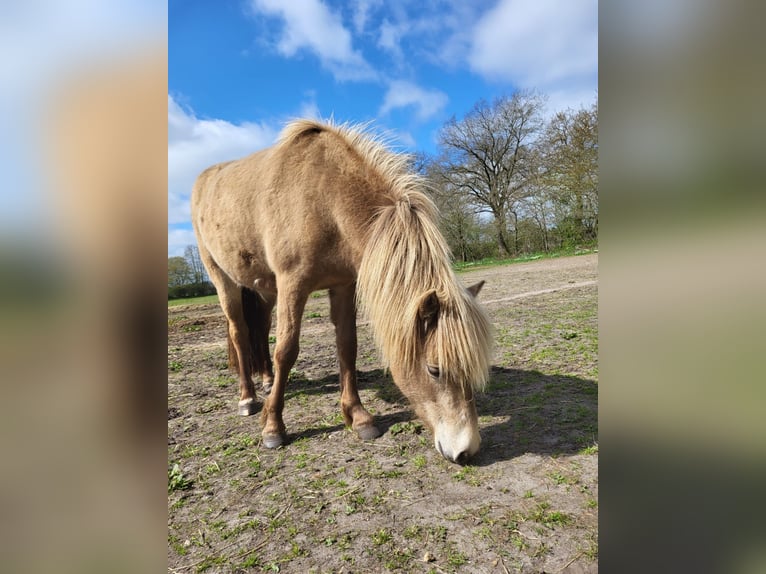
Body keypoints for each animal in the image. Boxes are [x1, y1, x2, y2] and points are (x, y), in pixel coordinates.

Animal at [191, 119, 493, 463]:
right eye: (434, 369)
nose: (466, 451)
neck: (325, 199)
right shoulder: (292, 284)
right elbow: (287, 351)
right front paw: (273, 427)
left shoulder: (343, 285)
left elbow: (347, 346)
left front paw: (359, 417)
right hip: (222, 278)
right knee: (240, 332)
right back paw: (248, 398)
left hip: (264, 291)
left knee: (261, 328)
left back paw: (266, 381)